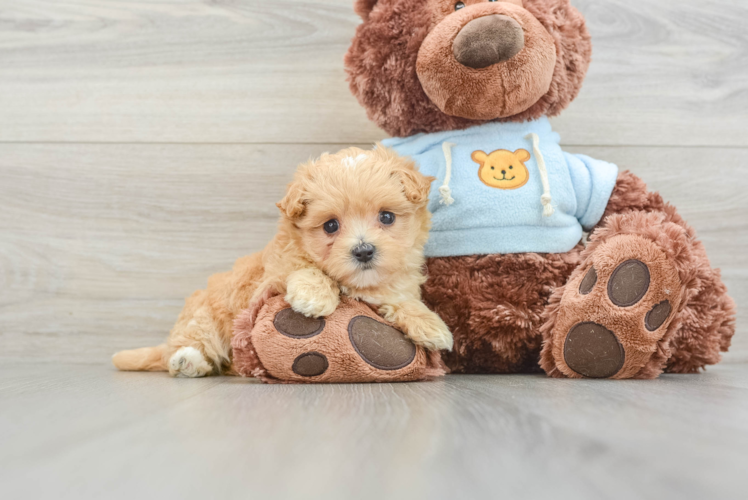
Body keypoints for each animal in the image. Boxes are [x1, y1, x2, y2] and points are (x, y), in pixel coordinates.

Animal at [111, 145, 450, 376]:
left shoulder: (391, 286)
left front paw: (430, 325)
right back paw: (187, 360)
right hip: (205, 319)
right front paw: (314, 295)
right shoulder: (273, 274)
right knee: (193, 346)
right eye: (330, 226)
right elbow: (305, 268)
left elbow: (400, 298)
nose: (364, 251)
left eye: (387, 217)